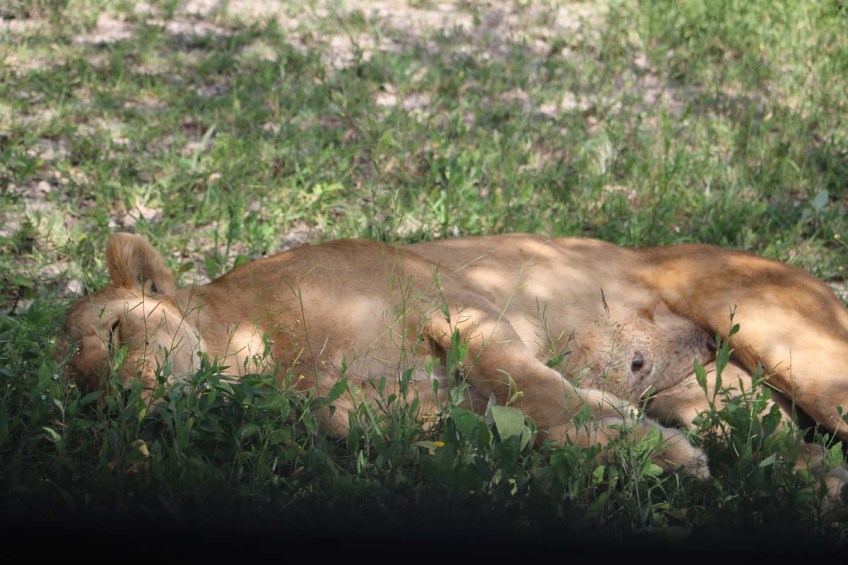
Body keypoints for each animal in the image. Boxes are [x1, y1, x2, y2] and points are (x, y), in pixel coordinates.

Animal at [58, 232, 848, 493]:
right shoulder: (392, 416)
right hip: (715, 396)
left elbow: (531, 387)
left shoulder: (461, 307)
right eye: (84, 395)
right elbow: (536, 423)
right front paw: (640, 451)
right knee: (797, 452)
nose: (123, 403)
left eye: (120, 332)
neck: (269, 357)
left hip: (796, 350)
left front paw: (662, 459)